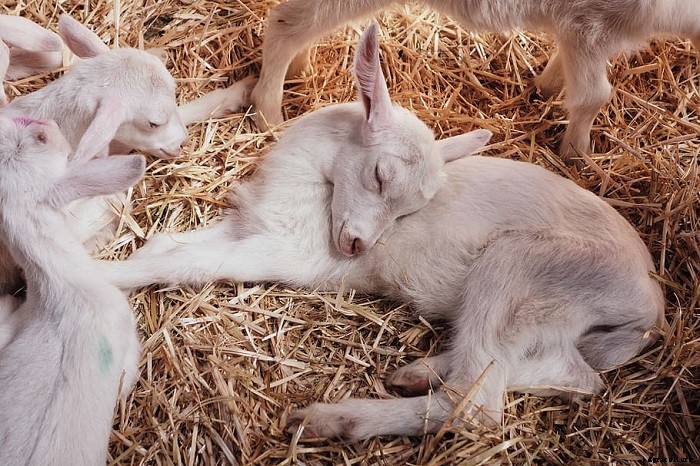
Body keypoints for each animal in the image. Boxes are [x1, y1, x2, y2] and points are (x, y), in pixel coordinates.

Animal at [99, 23, 666, 441]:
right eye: (379, 176)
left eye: (407, 214)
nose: (356, 247)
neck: (311, 189)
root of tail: (649, 306)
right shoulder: (252, 223)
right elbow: (172, 245)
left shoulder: (288, 251)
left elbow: (187, 262)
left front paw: (103, 274)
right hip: (550, 319)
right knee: (570, 374)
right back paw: (419, 371)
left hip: (521, 267)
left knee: (479, 405)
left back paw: (333, 419)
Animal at [250, 0, 700, 162]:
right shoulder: (589, 24)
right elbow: (593, 96)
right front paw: (576, 155)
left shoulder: (579, 30)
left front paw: (544, 88)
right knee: (285, 25)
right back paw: (268, 114)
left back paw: (299, 71)